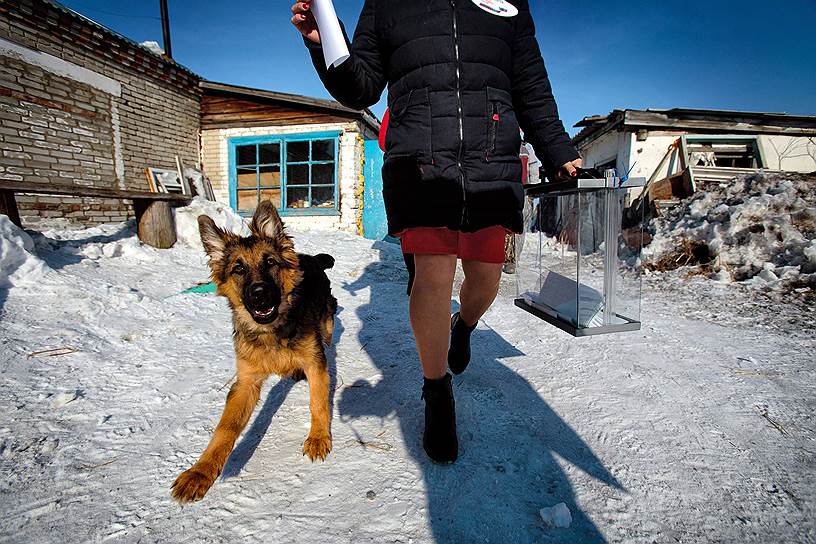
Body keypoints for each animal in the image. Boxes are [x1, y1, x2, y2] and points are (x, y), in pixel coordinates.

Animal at [172, 201, 338, 506]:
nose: (259, 293)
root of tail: (309, 258)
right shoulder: (245, 383)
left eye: (269, 262)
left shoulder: (315, 364)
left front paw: (318, 438)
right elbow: (225, 428)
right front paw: (200, 472)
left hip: (325, 316)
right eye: (238, 269)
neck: (272, 331)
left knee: (330, 321)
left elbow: (318, 402)